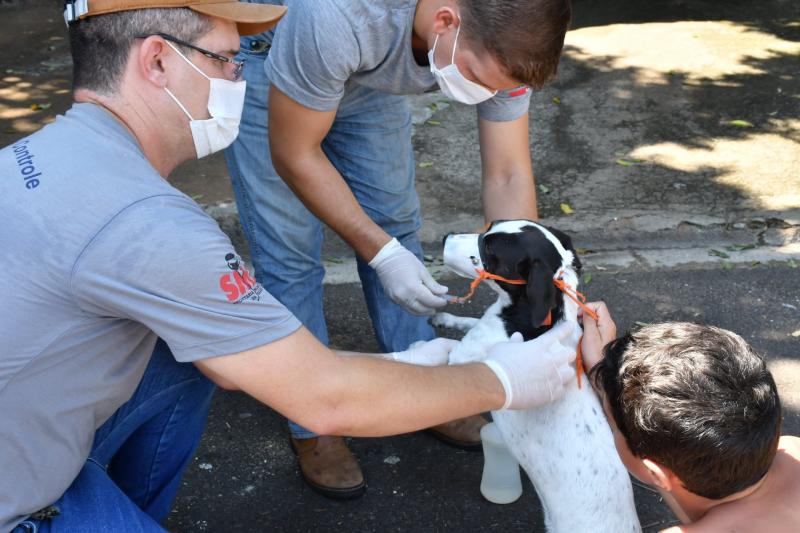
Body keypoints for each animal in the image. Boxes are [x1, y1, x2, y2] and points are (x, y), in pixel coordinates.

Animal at [434, 220, 640, 532]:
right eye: (489, 226)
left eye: (489, 249)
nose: (445, 237)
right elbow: (468, 321)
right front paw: (446, 317)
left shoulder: (464, 357)